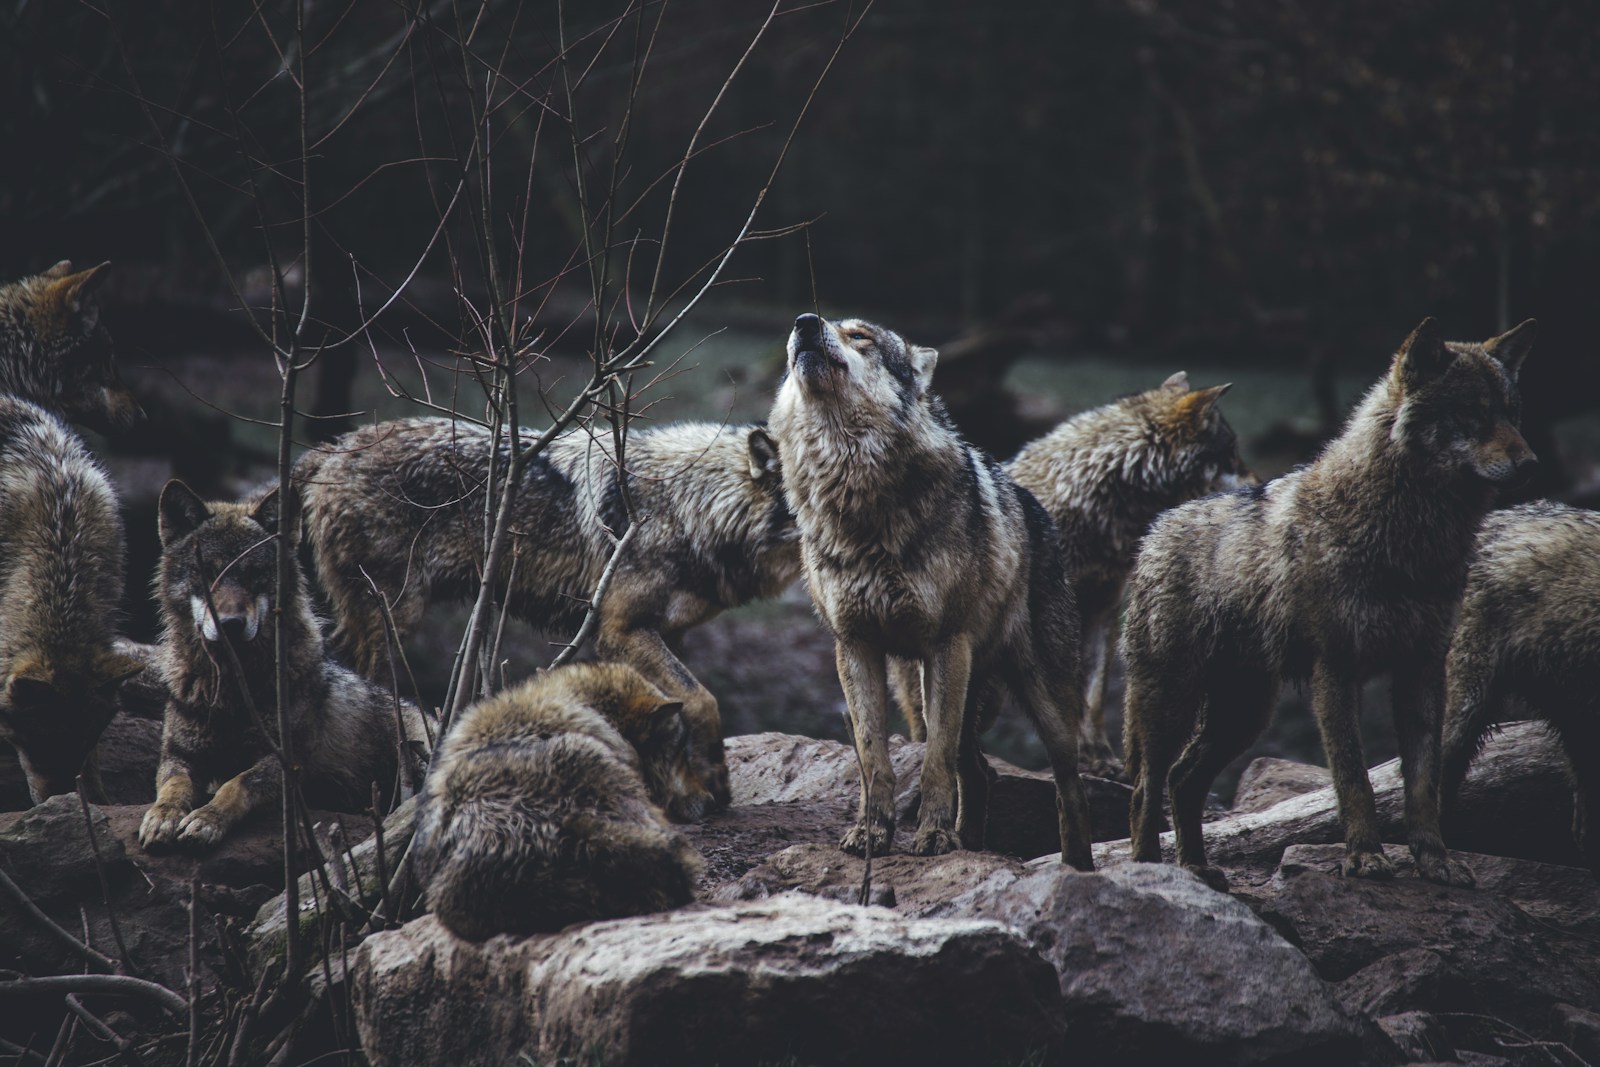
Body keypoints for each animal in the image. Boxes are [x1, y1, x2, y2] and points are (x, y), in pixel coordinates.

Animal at [138, 480, 433, 850]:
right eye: (207, 572)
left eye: (255, 574)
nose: (230, 624)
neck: (233, 690)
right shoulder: (179, 755)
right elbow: (173, 786)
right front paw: (162, 816)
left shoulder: (286, 762)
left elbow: (236, 784)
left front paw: (206, 819)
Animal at [296, 417, 800, 817]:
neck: (690, 506)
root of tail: (333, 446)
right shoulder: (620, 630)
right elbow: (703, 700)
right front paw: (714, 783)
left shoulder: (668, 634)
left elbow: (680, 709)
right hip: (392, 620)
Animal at [768, 312, 1093, 867]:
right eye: (812, 325)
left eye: (860, 336)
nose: (805, 322)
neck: (855, 495)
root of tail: (1037, 508)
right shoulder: (854, 646)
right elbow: (873, 758)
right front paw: (871, 834)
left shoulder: (945, 644)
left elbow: (934, 762)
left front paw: (935, 838)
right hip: (927, 688)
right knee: (980, 772)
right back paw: (973, 845)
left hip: (1039, 699)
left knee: (1067, 788)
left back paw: (1077, 868)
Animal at [1123, 318, 1537, 891]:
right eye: (1472, 414)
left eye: (1512, 414)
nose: (1531, 463)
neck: (1410, 539)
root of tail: (1156, 528)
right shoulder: (1335, 670)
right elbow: (1353, 777)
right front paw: (1365, 857)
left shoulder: (1423, 670)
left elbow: (1424, 785)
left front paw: (1435, 861)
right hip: (1173, 703)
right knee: (1148, 785)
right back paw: (1151, 870)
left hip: (1245, 714)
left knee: (1183, 779)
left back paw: (1197, 870)